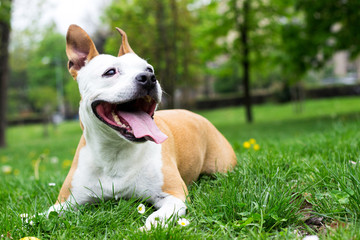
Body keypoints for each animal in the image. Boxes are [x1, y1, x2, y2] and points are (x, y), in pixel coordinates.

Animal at [47, 24, 238, 231]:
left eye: (149, 68)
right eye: (110, 72)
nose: (148, 77)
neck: (114, 151)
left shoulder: (174, 195)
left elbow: (155, 218)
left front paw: (144, 229)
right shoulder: (65, 202)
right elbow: (44, 215)